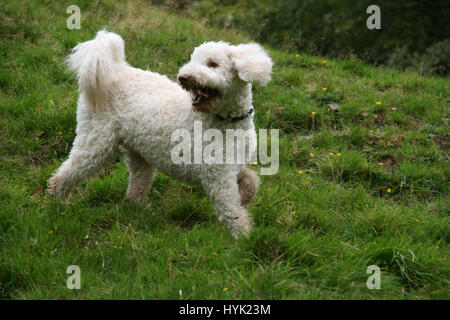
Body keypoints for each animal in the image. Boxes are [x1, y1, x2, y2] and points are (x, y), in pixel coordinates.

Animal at [49, 30, 274, 238]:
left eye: (213, 64)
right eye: (193, 60)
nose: (183, 78)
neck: (227, 121)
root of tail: (117, 69)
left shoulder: (232, 167)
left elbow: (252, 181)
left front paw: (245, 197)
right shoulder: (218, 178)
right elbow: (232, 212)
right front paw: (243, 239)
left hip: (139, 152)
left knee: (136, 185)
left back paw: (138, 211)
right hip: (96, 140)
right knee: (67, 172)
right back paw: (59, 202)